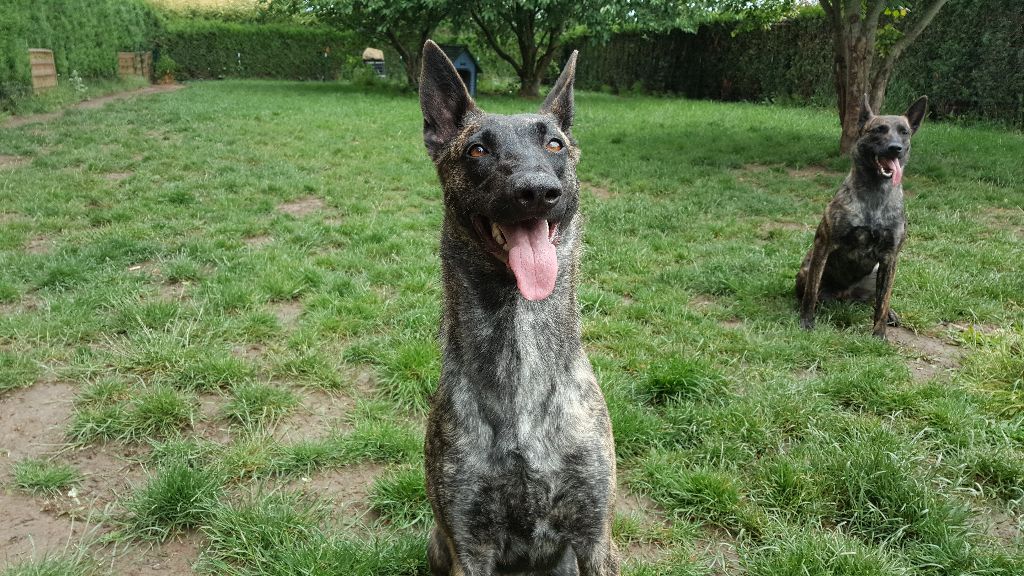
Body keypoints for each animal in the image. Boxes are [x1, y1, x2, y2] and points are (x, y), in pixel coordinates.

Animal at [418, 40, 619, 576]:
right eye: (477, 149)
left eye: (555, 145)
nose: (536, 190)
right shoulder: (469, 545)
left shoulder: (595, 538)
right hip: (437, 543)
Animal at [796, 94, 928, 339]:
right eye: (878, 130)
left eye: (904, 131)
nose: (895, 148)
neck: (875, 195)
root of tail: (846, 296)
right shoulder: (823, 244)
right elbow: (811, 292)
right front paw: (806, 322)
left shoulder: (890, 258)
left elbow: (882, 301)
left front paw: (879, 335)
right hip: (807, 269)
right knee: (812, 291)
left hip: (875, 273)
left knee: (874, 300)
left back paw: (890, 314)